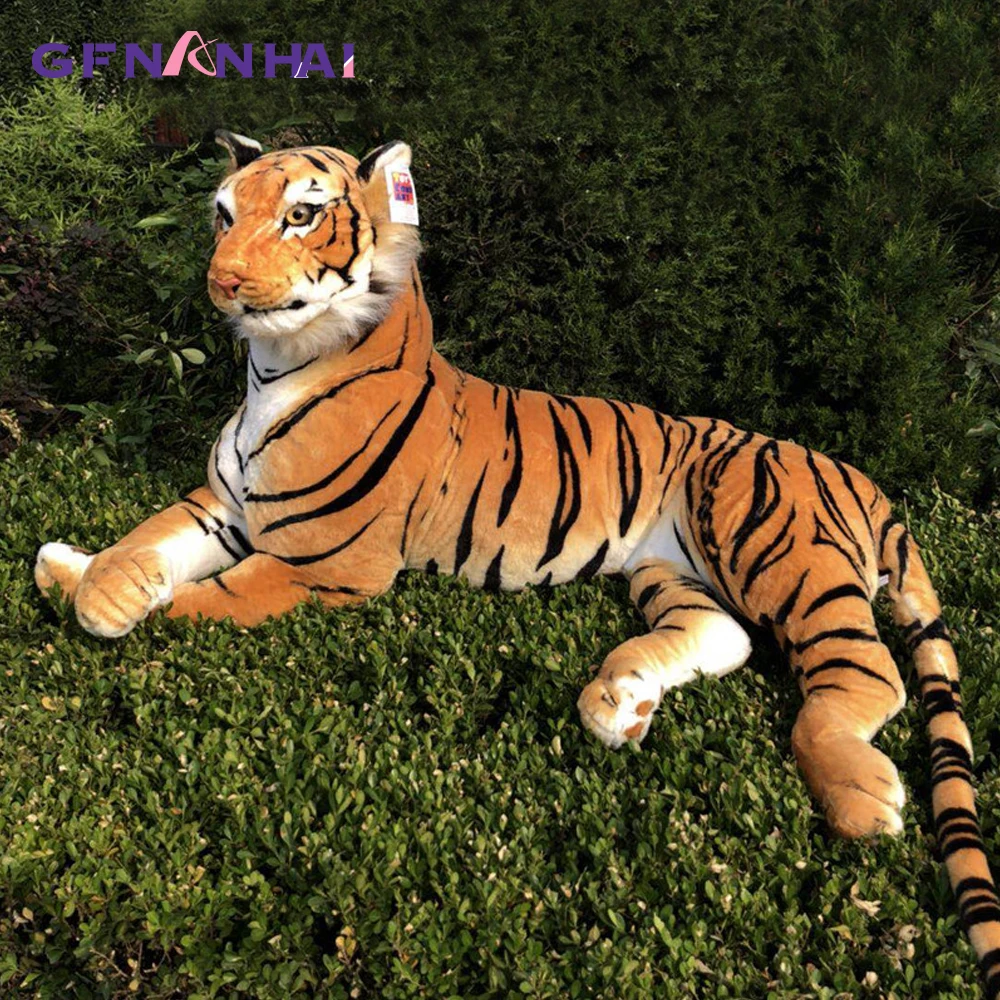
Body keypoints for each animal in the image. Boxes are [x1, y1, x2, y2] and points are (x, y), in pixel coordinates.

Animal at [34, 130, 1000, 992]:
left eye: (302, 215)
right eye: (224, 214)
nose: (222, 281)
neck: (268, 374)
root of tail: (861, 476)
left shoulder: (320, 562)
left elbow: (197, 605)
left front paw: (100, 600)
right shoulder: (225, 509)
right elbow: (148, 541)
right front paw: (84, 578)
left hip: (772, 541)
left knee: (863, 675)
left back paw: (860, 796)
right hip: (673, 568)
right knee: (727, 638)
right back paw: (620, 700)